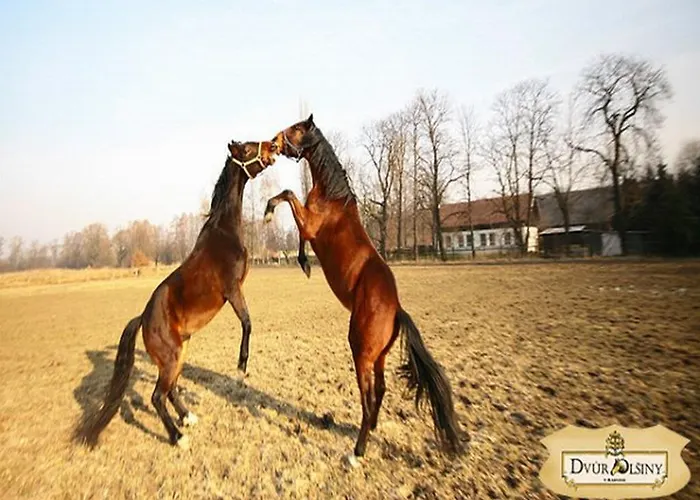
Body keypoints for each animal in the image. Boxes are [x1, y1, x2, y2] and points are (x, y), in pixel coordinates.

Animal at [74, 140, 278, 449]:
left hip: (180, 353)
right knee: (157, 396)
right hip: (171, 357)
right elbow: (247, 322)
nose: (272, 146)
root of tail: (142, 318)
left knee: (170, 390)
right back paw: (178, 437)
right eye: (246, 148)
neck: (223, 232)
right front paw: (242, 366)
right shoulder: (233, 290)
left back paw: (187, 418)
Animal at [263, 115, 464, 460]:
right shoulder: (307, 227)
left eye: (298, 129)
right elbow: (297, 228)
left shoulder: (310, 224)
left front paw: (267, 211)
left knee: (368, 399)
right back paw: (371, 431)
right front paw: (303, 263)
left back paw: (358, 450)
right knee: (380, 391)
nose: (275, 141)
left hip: (361, 353)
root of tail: (397, 310)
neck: (331, 197)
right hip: (379, 356)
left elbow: (288, 195)